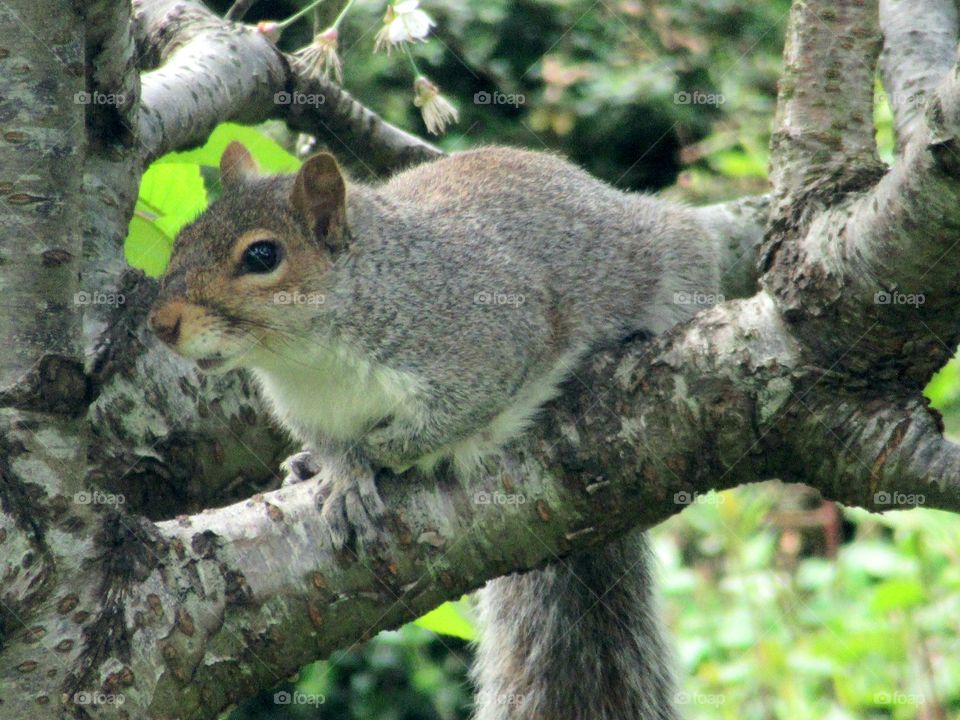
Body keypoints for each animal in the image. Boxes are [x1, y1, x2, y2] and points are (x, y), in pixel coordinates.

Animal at [148, 142, 720, 720]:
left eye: (262, 256)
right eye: (181, 238)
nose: (160, 325)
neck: (308, 359)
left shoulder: (488, 344)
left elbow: (440, 422)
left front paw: (374, 457)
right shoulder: (307, 412)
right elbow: (336, 446)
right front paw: (339, 472)